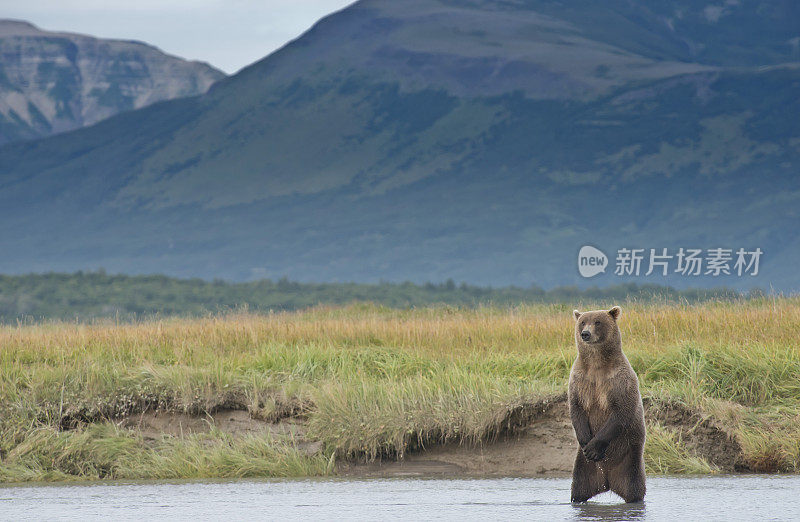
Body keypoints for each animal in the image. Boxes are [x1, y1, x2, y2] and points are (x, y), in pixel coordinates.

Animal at [564, 304, 648, 500]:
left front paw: (594, 448)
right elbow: (576, 409)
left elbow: (621, 412)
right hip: (584, 467)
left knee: (634, 487)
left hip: (629, 457)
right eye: (582, 322)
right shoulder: (580, 380)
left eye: (598, 322)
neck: (597, 364)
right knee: (579, 486)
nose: (585, 334)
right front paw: (586, 441)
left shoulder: (619, 381)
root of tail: (608, 480)